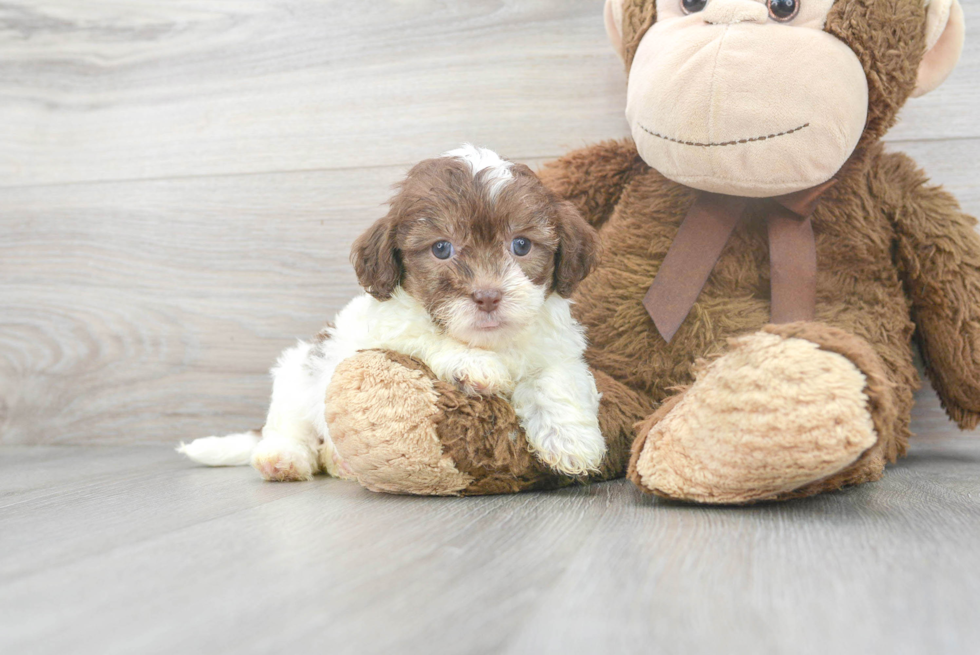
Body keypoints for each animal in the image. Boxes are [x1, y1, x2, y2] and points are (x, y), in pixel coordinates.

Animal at [178, 145, 604, 482]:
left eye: (521, 245)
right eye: (441, 248)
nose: (486, 296)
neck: (490, 340)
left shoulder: (558, 350)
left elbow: (555, 381)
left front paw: (571, 442)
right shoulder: (387, 330)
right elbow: (428, 337)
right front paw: (473, 364)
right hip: (297, 374)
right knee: (290, 427)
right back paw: (283, 458)